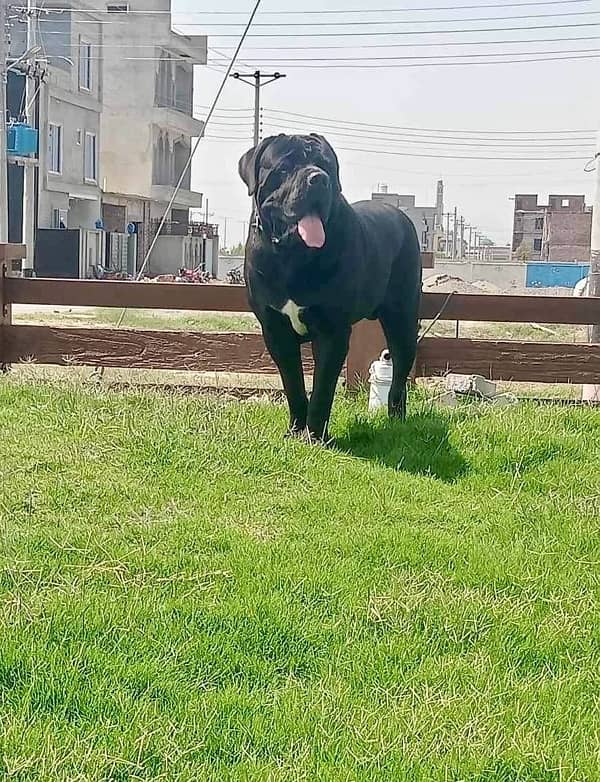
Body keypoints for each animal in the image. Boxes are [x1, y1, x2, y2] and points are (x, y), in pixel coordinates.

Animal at [237, 132, 420, 444]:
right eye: (284, 167)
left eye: (326, 165)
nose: (318, 179)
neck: (293, 257)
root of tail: (401, 214)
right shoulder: (276, 331)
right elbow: (294, 384)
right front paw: (295, 430)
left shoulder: (332, 332)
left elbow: (322, 389)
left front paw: (315, 437)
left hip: (403, 320)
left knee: (400, 371)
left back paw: (397, 419)